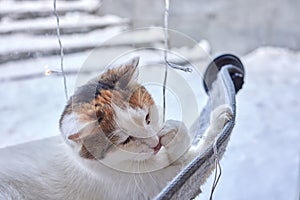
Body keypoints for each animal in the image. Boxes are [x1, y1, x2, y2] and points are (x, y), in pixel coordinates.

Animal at [0, 56, 232, 200]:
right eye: (126, 140)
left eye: (147, 117)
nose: (155, 143)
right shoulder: (153, 184)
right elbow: (194, 155)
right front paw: (214, 122)